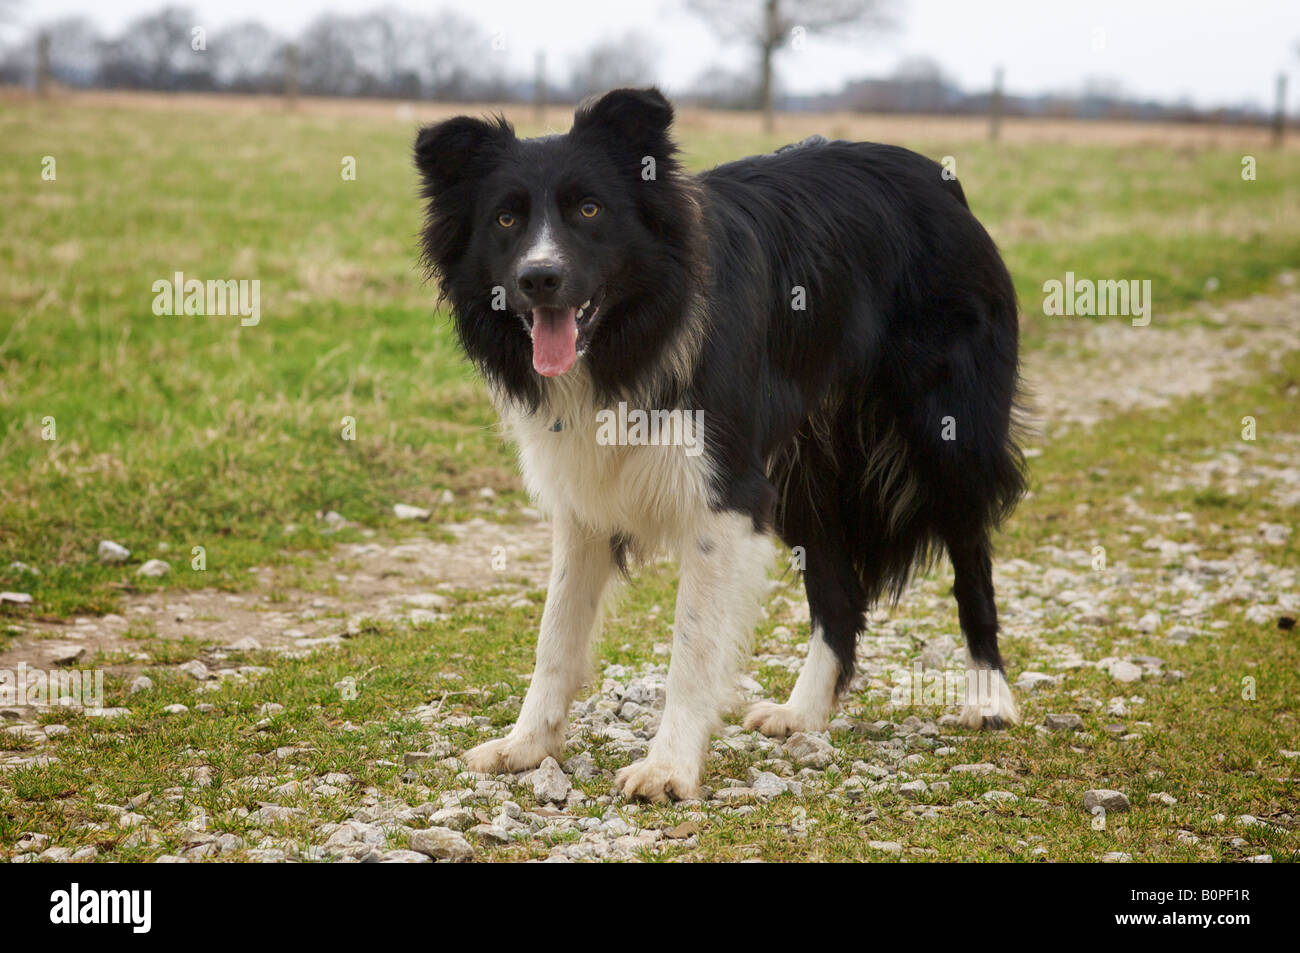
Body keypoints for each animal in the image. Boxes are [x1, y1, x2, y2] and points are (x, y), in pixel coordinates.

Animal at [416, 91, 1024, 800]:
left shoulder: (723, 492)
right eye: (506, 218)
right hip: (806, 464)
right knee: (837, 588)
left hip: (944, 431)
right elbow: (556, 634)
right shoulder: (583, 498)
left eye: (590, 209)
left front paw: (667, 770)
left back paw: (988, 697)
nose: (540, 278)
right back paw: (801, 712)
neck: (632, 333)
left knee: (970, 555)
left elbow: (694, 642)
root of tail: (940, 180)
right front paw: (524, 746)